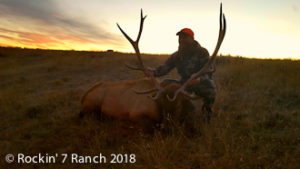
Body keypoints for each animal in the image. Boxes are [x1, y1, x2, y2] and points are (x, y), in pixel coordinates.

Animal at [79, 3, 225, 129]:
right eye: (162, 103)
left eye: (179, 104)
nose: (168, 125)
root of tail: (84, 96)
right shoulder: (136, 115)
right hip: (92, 105)